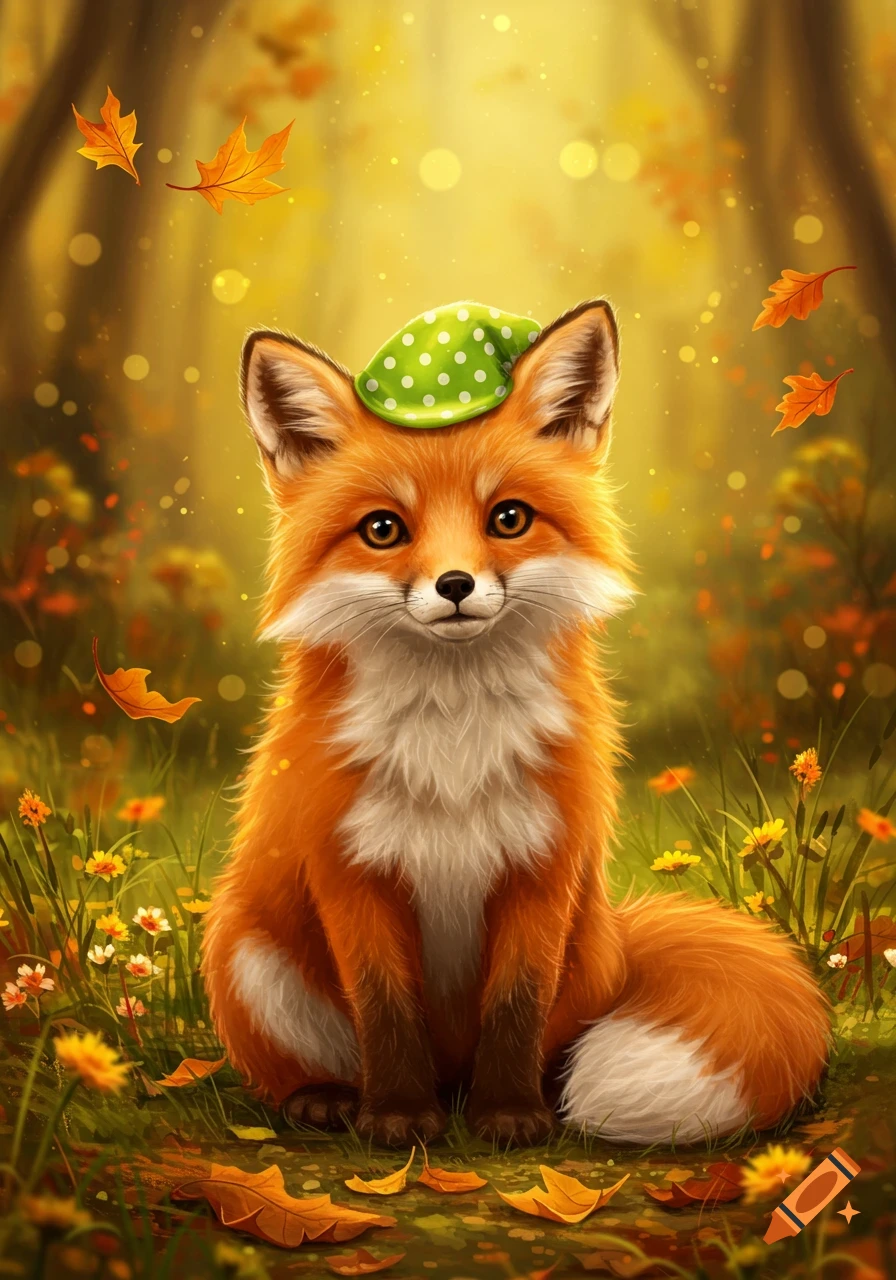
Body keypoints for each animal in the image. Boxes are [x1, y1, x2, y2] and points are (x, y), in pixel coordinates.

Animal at [202, 298, 829, 1148]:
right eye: (382, 529)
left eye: (508, 518)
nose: (455, 585)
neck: (452, 740)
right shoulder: (350, 871)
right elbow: (385, 1009)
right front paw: (397, 1117)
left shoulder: (542, 866)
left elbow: (516, 1006)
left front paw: (510, 1115)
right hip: (246, 950)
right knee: (308, 1060)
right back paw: (329, 1098)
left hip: (583, 961)